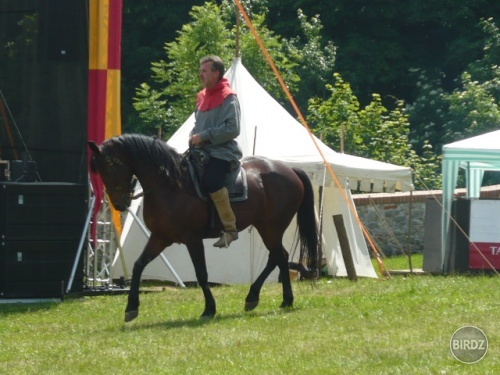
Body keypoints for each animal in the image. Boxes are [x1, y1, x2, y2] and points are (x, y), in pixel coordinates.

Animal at [88, 134, 318, 322]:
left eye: (109, 167)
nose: (119, 204)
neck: (170, 185)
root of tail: (290, 170)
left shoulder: (192, 239)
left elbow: (201, 274)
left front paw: (209, 309)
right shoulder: (160, 237)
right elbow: (138, 265)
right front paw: (131, 308)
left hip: (271, 226)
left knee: (278, 256)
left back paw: (266, 298)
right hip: (265, 226)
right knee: (278, 256)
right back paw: (272, 299)